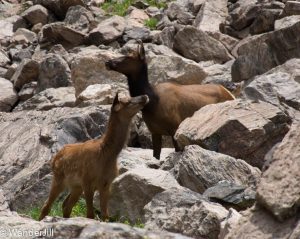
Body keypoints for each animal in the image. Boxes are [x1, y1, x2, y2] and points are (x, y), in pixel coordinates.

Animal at [106, 40, 236, 160]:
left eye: (129, 56)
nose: (108, 62)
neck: (152, 103)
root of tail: (230, 94)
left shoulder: (175, 128)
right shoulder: (155, 131)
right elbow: (156, 156)